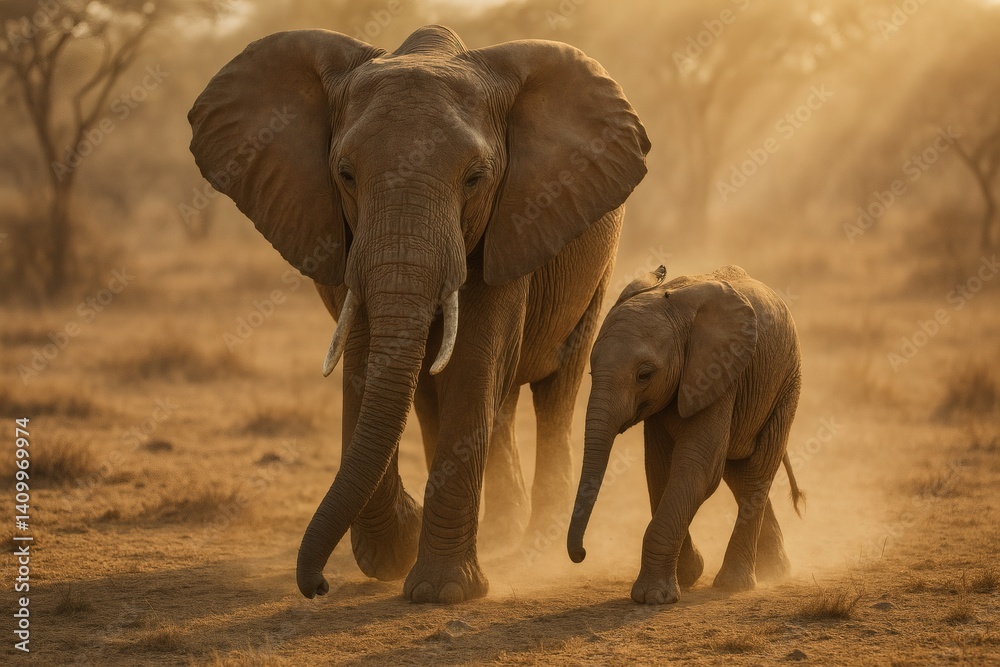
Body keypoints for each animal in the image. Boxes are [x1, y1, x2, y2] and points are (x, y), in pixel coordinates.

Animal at [188, 25, 650, 603]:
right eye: (345, 175)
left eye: (475, 179)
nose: (317, 585)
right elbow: (368, 362)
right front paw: (396, 553)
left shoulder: (514, 214)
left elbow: (473, 363)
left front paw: (441, 591)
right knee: (460, 399)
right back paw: (499, 532)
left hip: (593, 266)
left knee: (554, 389)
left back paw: (536, 546)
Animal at [567, 265, 803, 604]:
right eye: (590, 371)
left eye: (644, 375)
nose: (582, 553)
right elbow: (660, 470)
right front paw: (688, 575)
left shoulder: (717, 373)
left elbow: (696, 470)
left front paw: (654, 597)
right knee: (740, 476)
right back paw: (775, 572)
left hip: (786, 382)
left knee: (758, 470)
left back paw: (735, 585)